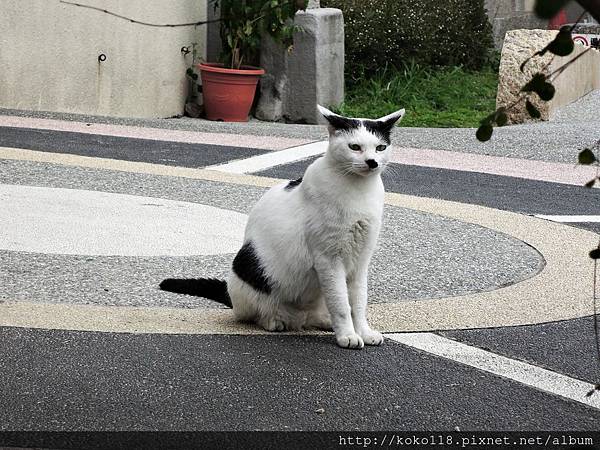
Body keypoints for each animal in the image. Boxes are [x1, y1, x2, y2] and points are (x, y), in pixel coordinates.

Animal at [159, 104, 406, 348]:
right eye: (355, 147)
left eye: (380, 147)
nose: (372, 162)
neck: (358, 191)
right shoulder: (328, 260)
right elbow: (341, 304)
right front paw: (347, 335)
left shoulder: (360, 260)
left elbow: (358, 302)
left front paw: (362, 332)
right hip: (249, 266)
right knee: (254, 315)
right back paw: (276, 321)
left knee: (314, 315)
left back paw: (324, 321)